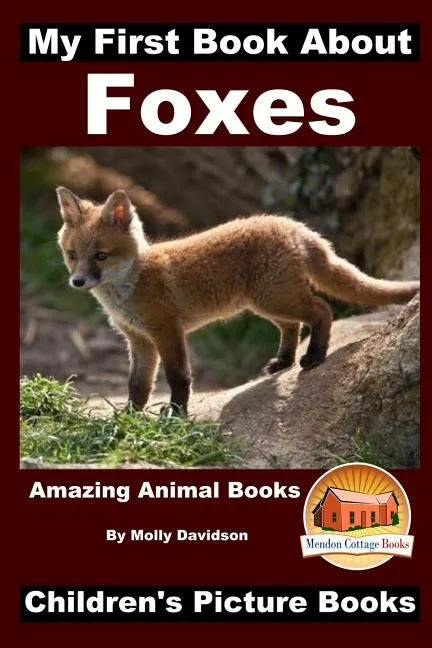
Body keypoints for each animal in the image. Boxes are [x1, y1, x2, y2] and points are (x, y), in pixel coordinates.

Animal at [56, 186, 419, 415]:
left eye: (101, 256)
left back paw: (315, 356)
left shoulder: (167, 331)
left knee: (322, 311)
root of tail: (294, 226)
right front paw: (129, 418)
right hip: (266, 303)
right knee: (293, 326)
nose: (77, 282)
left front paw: (175, 414)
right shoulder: (139, 340)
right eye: (72, 255)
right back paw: (283, 362)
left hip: (275, 298)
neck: (131, 283)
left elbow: (178, 377)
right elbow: (138, 385)